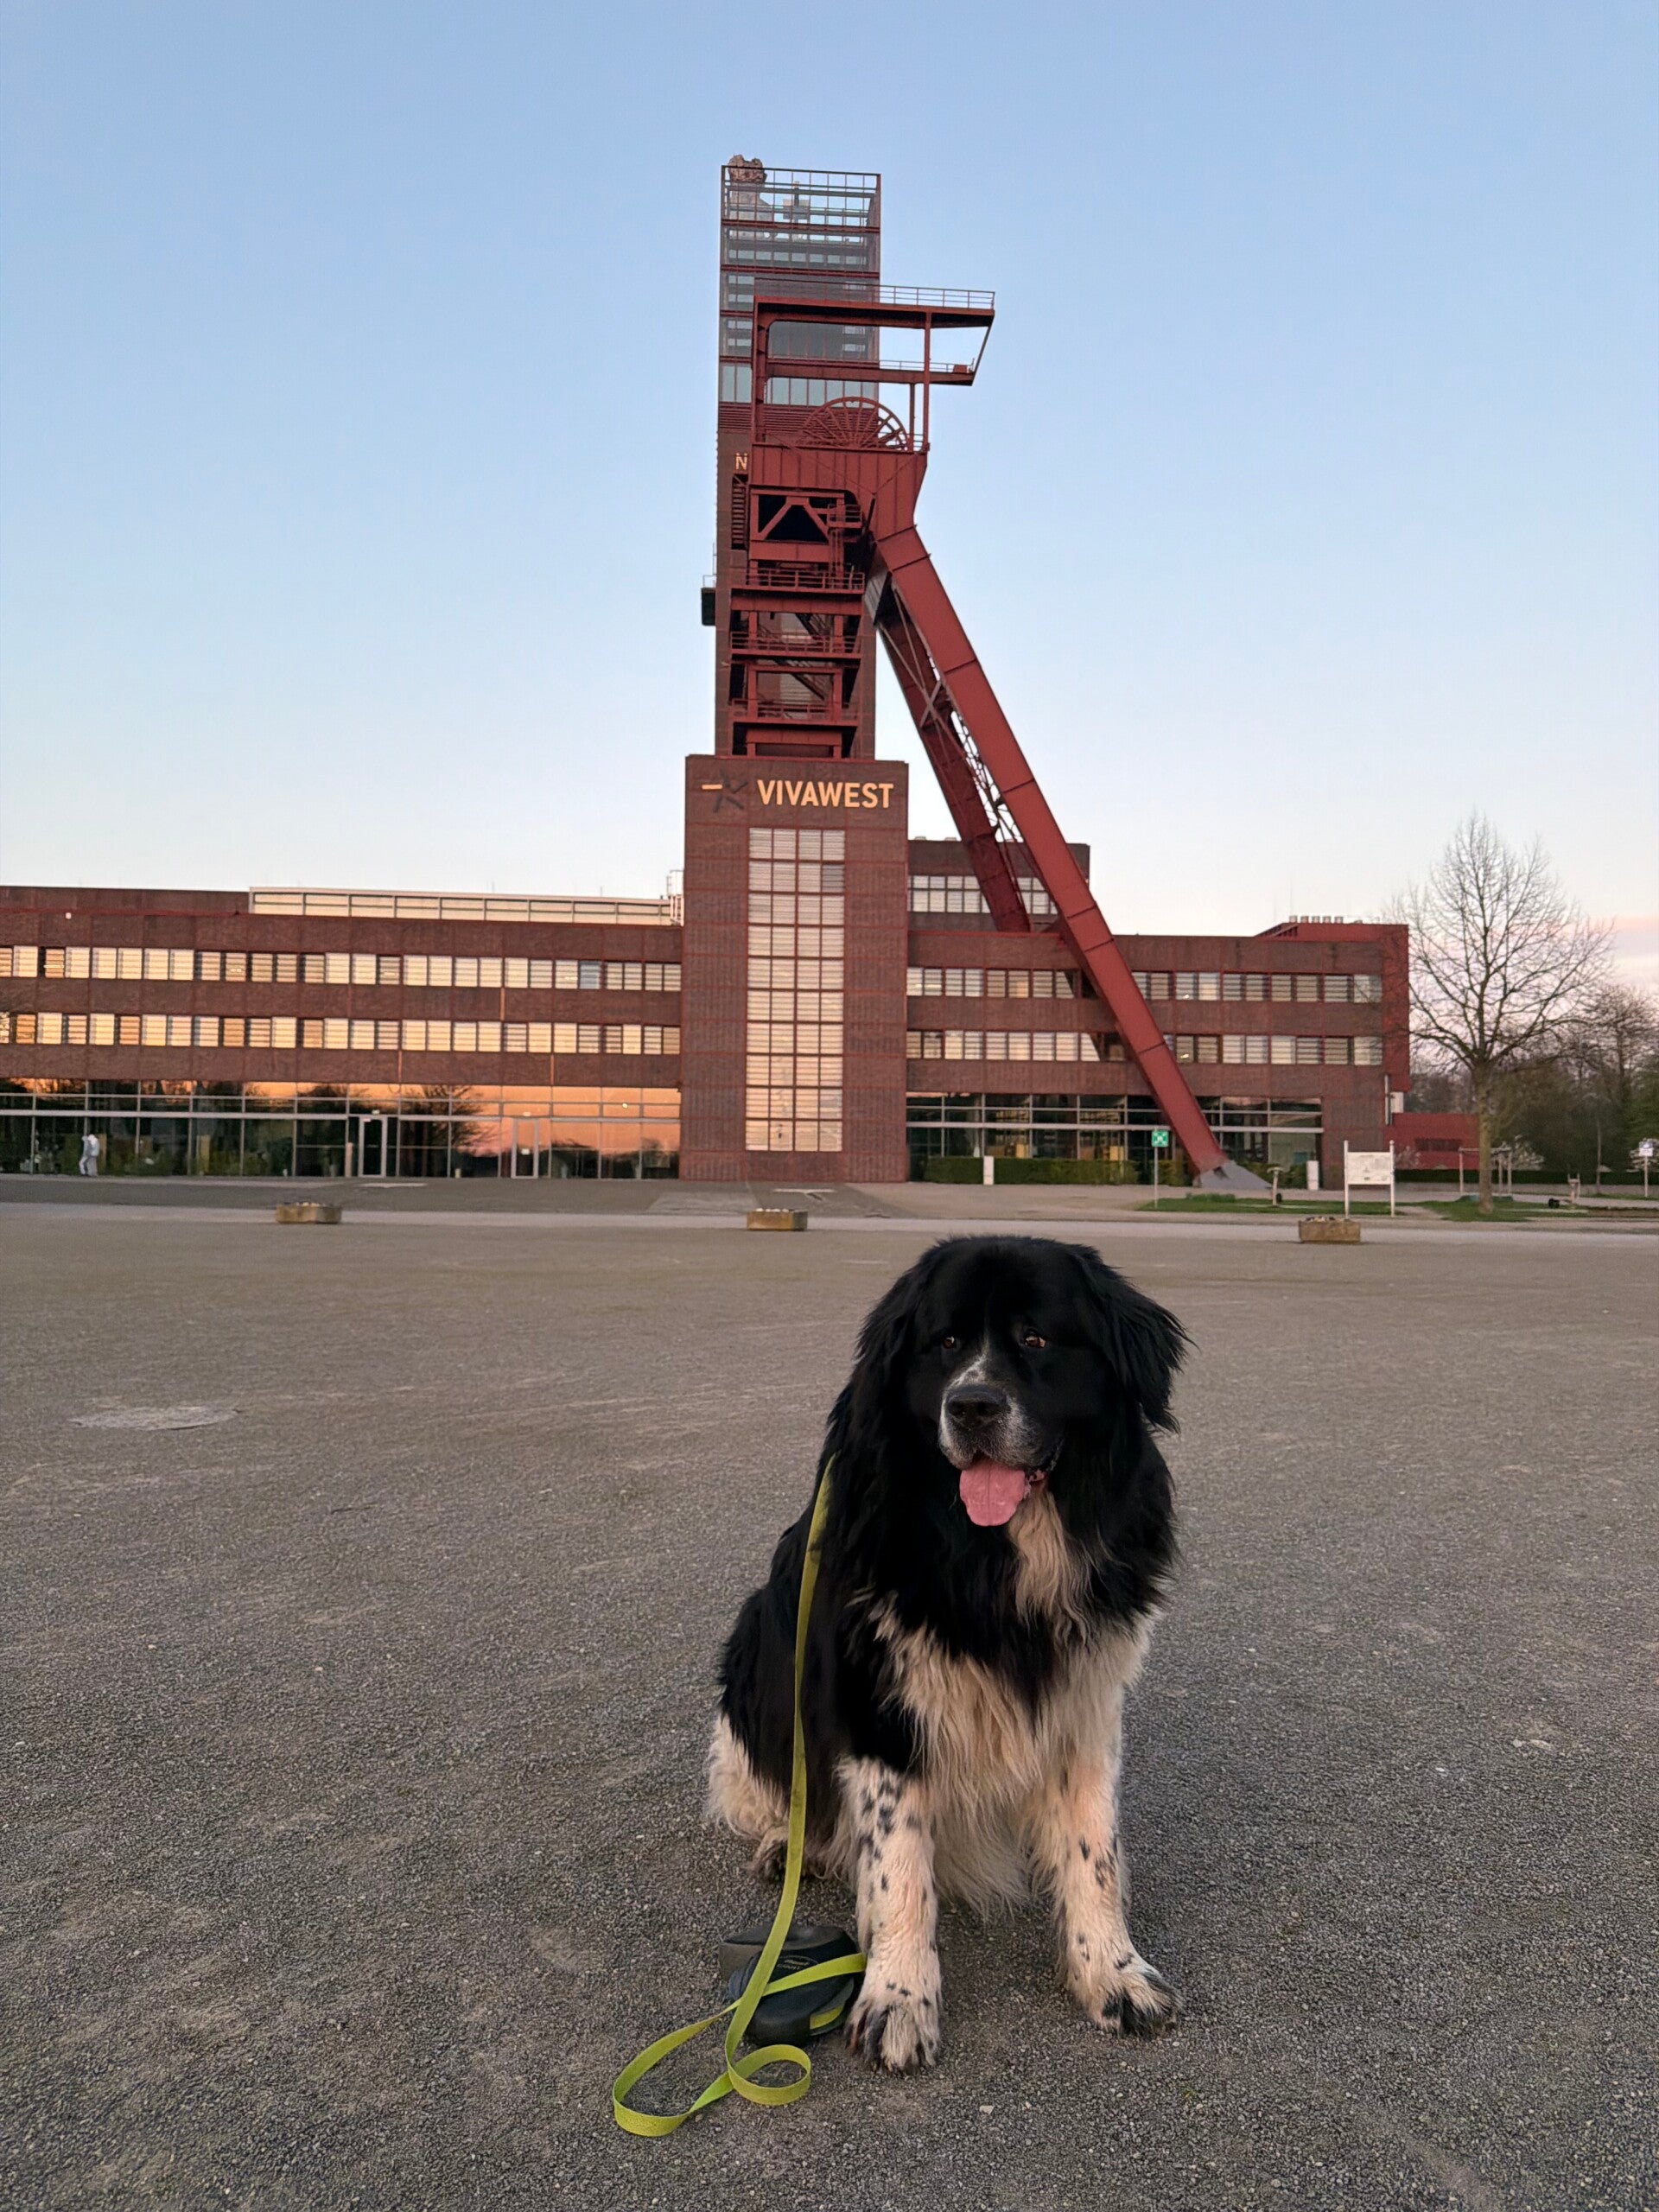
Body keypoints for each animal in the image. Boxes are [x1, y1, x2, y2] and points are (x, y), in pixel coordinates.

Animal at [707, 1233, 1186, 2071]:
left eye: (1036, 1338)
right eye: (947, 1344)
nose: (972, 1406)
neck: (992, 1558)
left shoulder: (1087, 1699)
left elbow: (1094, 1848)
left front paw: (1112, 1972)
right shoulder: (879, 1705)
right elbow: (899, 1867)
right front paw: (898, 1998)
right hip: (756, 1645)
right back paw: (787, 1842)